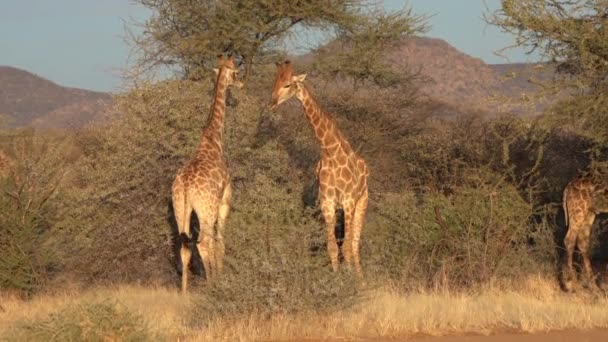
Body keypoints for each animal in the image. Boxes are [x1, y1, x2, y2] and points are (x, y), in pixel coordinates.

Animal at [171, 54, 242, 292]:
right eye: (236, 72)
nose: (241, 84)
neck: (213, 139)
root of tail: (185, 184)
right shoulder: (225, 199)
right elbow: (221, 240)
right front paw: (222, 276)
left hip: (180, 208)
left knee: (184, 246)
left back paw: (184, 292)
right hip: (206, 208)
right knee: (204, 242)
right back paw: (213, 284)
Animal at [270, 60, 370, 276]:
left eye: (288, 84)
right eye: (275, 82)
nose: (271, 103)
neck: (330, 153)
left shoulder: (349, 201)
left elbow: (346, 246)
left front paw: (349, 279)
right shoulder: (327, 203)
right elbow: (332, 246)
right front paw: (336, 277)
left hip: (361, 202)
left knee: (355, 243)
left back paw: (360, 277)